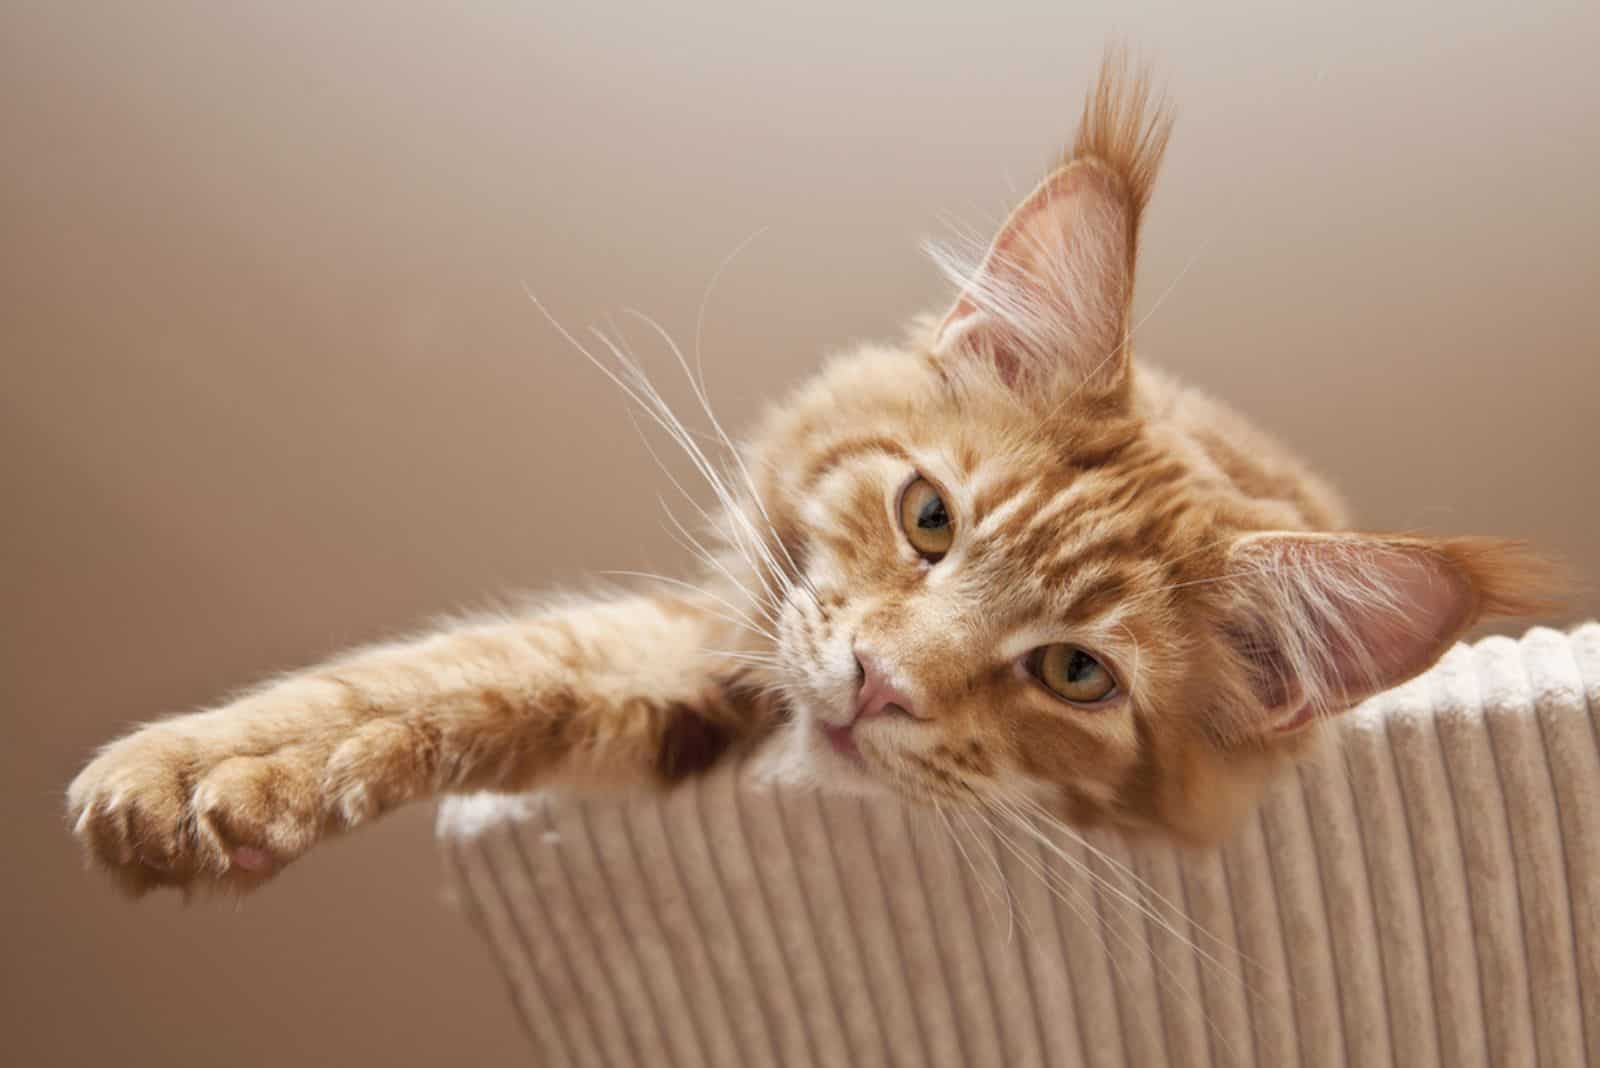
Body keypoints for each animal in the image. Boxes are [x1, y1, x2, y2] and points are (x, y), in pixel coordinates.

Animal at [65, 54, 1548, 895]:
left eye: (1077, 673)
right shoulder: (710, 650)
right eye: (929, 519)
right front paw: (202, 777)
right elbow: (441, 679)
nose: (880, 684)